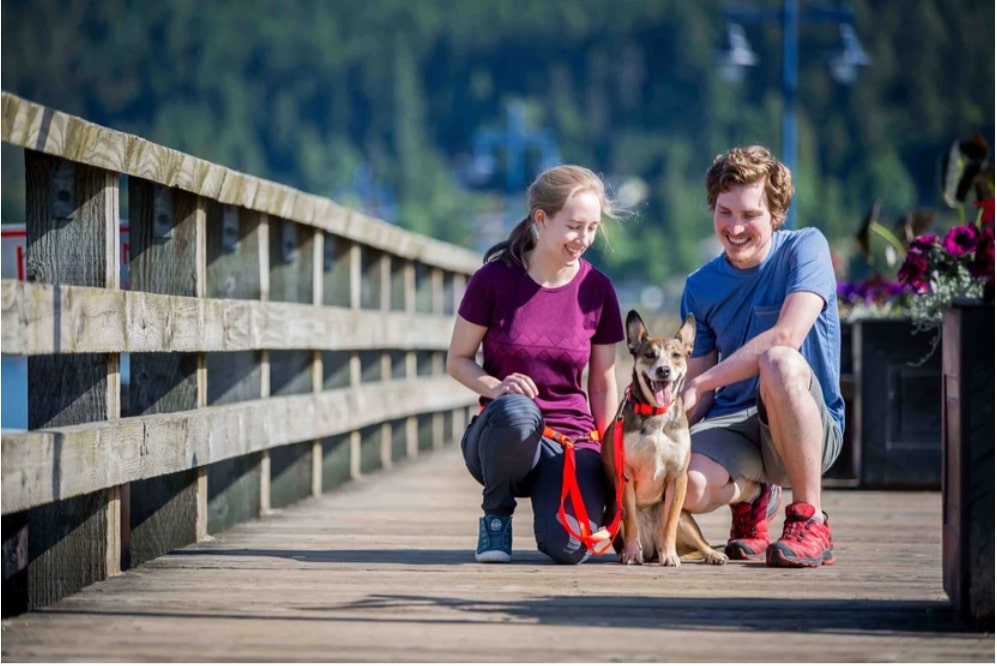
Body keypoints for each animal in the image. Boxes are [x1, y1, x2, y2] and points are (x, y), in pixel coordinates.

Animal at [600, 308, 724, 564]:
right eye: (649, 355)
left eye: (676, 355)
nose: (664, 370)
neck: (657, 414)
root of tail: (651, 552)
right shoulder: (626, 477)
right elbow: (631, 521)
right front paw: (630, 553)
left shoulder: (678, 478)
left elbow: (670, 524)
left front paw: (669, 555)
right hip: (614, 514)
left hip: (687, 521)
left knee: (699, 542)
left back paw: (711, 554)